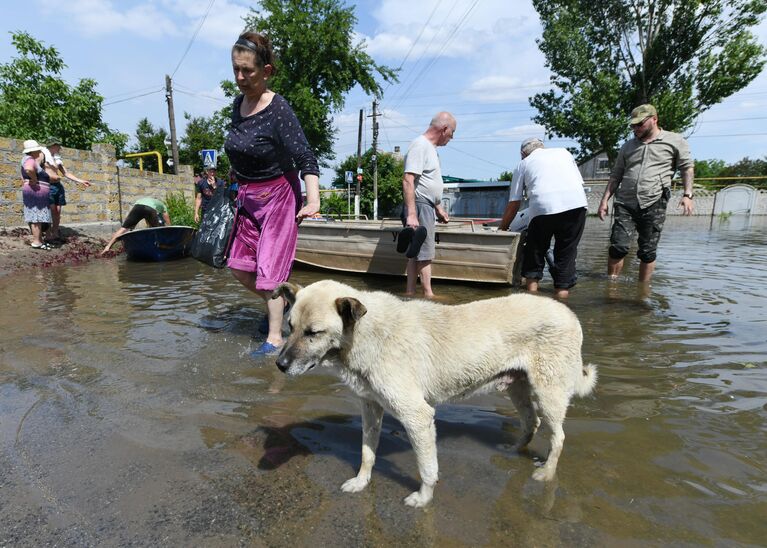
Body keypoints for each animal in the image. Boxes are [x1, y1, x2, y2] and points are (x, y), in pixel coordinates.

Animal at [272, 280, 596, 508]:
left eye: (313, 333)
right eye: (290, 327)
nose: (280, 365)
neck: (365, 334)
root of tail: (570, 315)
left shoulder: (417, 416)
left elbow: (427, 467)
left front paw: (423, 498)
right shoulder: (371, 408)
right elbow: (366, 452)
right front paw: (361, 482)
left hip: (548, 393)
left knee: (558, 436)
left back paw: (546, 473)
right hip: (518, 388)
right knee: (532, 422)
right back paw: (515, 449)